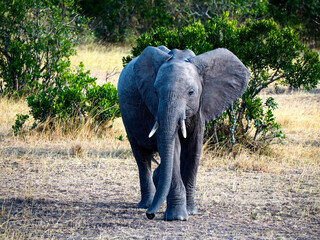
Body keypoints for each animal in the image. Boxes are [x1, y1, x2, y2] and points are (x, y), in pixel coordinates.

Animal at [117, 46, 250, 220]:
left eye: (191, 92)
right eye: (155, 92)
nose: (150, 215)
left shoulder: (201, 107)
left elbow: (193, 150)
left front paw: (190, 211)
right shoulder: (155, 108)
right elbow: (173, 147)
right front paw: (177, 217)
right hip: (126, 116)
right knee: (142, 157)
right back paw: (146, 204)